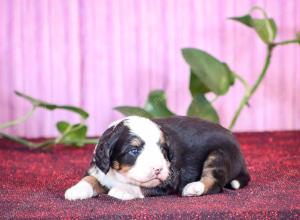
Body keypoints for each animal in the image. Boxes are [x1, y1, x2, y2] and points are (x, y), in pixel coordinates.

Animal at [64, 116, 250, 200]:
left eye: (162, 149)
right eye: (134, 150)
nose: (158, 169)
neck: (119, 175)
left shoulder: (169, 179)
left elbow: (142, 187)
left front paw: (123, 190)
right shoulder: (99, 170)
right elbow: (90, 179)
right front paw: (76, 190)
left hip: (218, 154)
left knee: (215, 183)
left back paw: (193, 188)